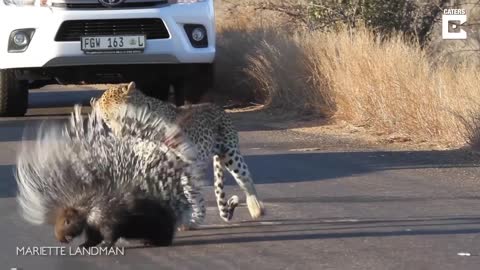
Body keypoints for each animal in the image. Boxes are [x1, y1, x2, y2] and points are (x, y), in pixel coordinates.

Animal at [89, 82, 262, 224]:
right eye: (107, 120)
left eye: (122, 115)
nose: (120, 133)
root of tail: (218, 107)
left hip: (230, 152)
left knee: (244, 178)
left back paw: (256, 207)